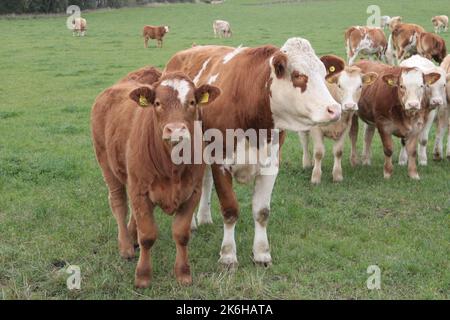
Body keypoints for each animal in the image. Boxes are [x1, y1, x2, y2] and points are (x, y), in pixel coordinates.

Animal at [90, 70, 221, 288]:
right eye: (158, 103)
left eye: (192, 102)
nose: (175, 130)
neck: (172, 166)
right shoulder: (140, 190)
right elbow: (148, 236)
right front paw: (143, 276)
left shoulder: (192, 192)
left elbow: (181, 234)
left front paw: (183, 273)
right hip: (107, 164)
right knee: (119, 203)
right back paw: (126, 246)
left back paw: (131, 237)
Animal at [165, 37, 344, 268]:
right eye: (298, 75)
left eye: (323, 74)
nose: (335, 109)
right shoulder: (221, 163)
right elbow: (230, 210)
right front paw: (228, 255)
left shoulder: (271, 165)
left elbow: (262, 212)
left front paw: (261, 253)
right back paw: (192, 223)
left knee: (204, 181)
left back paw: (204, 217)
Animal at [298, 56, 380, 184]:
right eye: (340, 85)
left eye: (360, 86)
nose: (350, 106)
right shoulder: (316, 128)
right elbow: (319, 152)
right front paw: (316, 177)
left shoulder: (345, 128)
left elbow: (338, 152)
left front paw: (337, 176)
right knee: (304, 139)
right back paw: (307, 163)